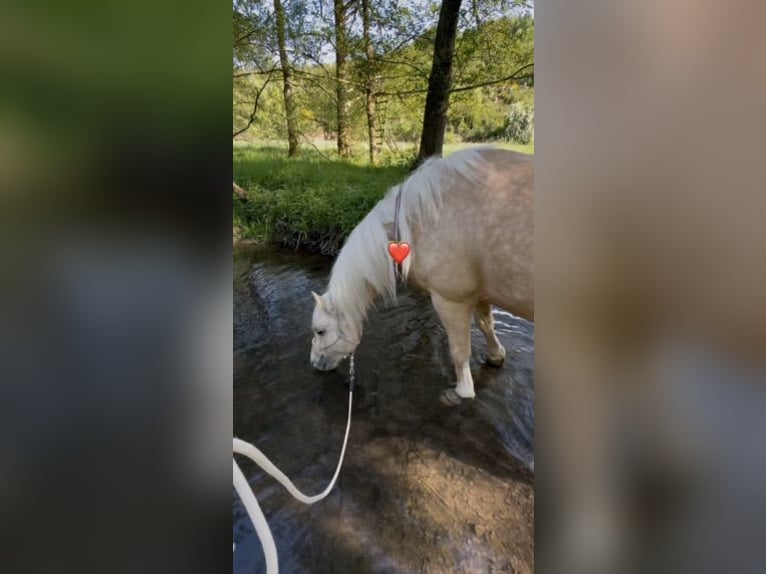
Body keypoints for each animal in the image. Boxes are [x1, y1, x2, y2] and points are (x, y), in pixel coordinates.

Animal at [309, 147, 533, 402]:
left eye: (320, 331)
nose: (315, 362)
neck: (419, 219)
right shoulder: (480, 294)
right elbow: (487, 325)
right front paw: (496, 355)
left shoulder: (451, 301)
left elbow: (459, 352)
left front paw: (461, 391)